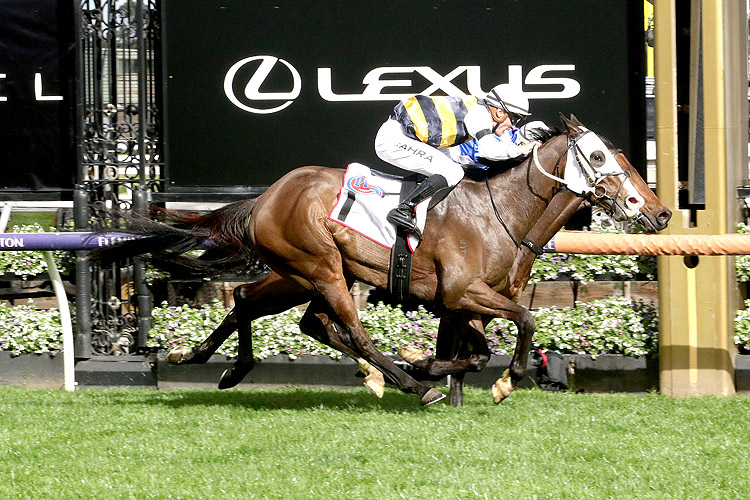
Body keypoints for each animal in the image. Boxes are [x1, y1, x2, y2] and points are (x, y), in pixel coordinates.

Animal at [91, 115, 672, 404]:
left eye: (625, 158)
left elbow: (477, 352)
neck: (502, 211)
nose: (659, 211)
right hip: (320, 268)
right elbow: (523, 324)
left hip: (301, 274)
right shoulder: (461, 293)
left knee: (257, 302)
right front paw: (486, 380)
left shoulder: (466, 303)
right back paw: (410, 386)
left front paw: (435, 365)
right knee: (349, 330)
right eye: (598, 156)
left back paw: (212, 362)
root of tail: (267, 195)